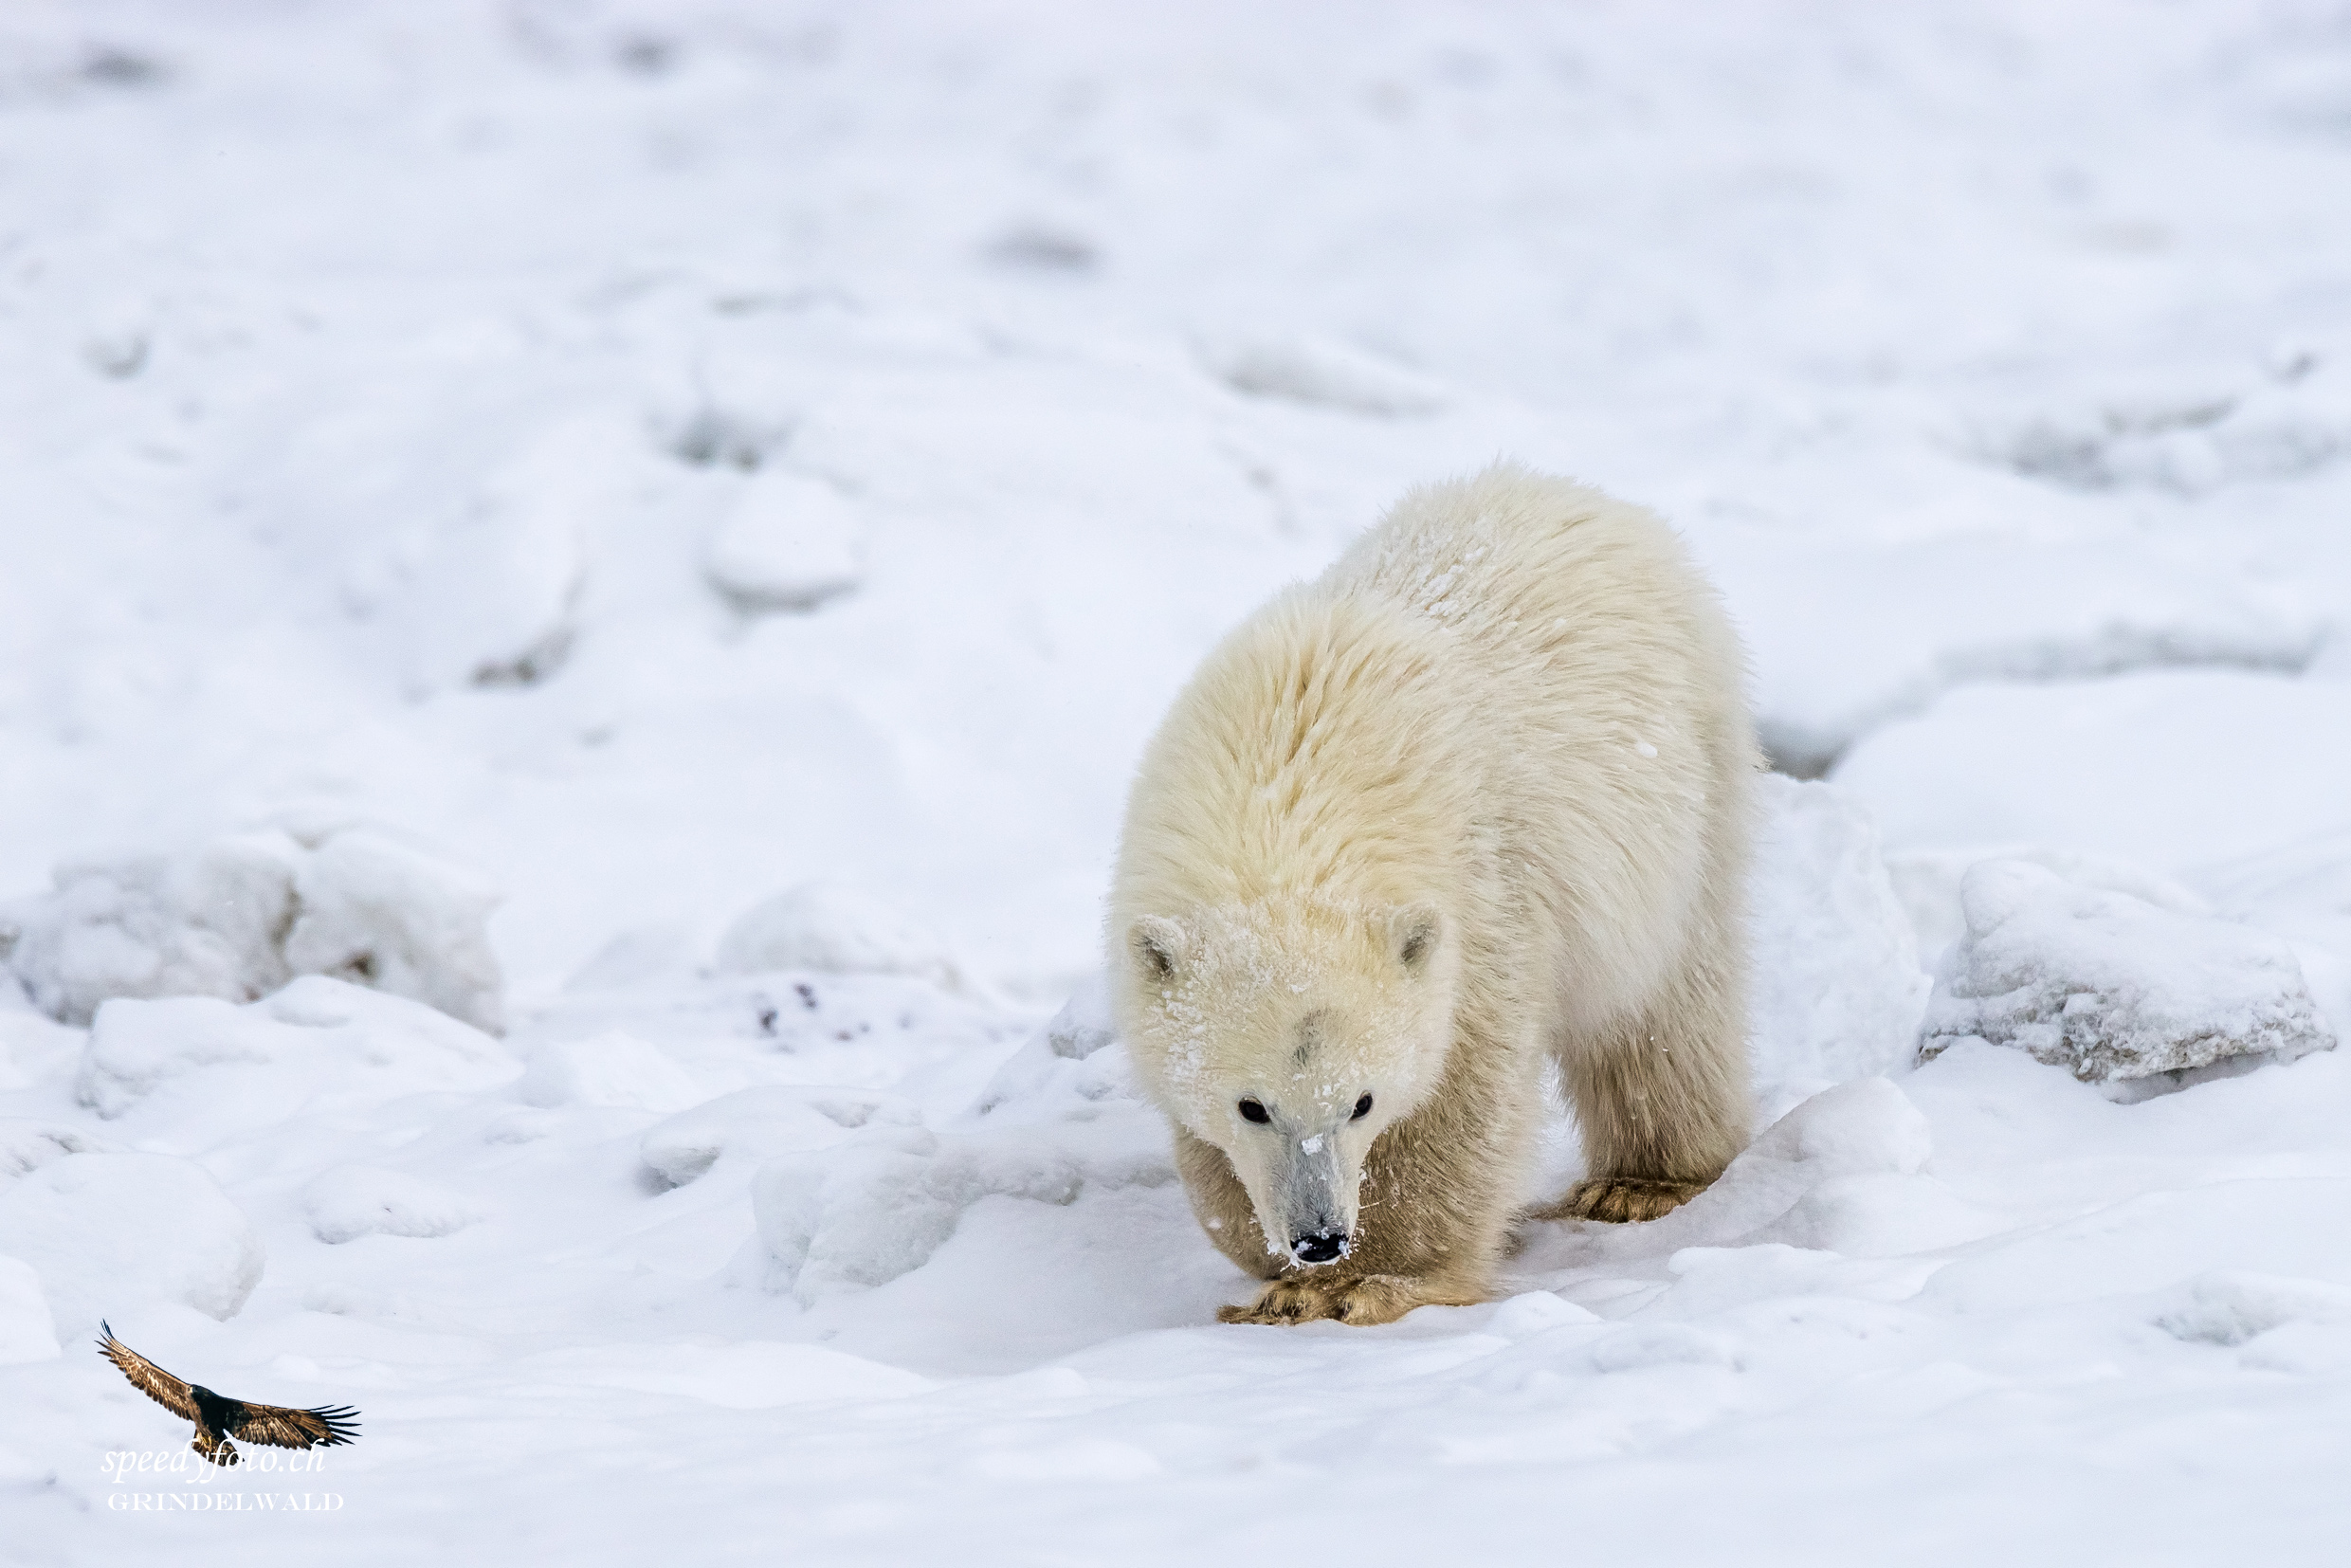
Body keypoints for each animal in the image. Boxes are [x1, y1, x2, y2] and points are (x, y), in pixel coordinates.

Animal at [1100, 463, 1749, 1325]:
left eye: (1363, 1102)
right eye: (1251, 1105)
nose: (1319, 1238)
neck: (1288, 798)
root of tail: (1569, 492)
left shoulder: (1484, 900)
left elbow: (1457, 1100)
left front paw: (1369, 1283)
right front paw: (1276, 1278)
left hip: (1689, 801)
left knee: (1665, 1009)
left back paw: (1641, 1183)